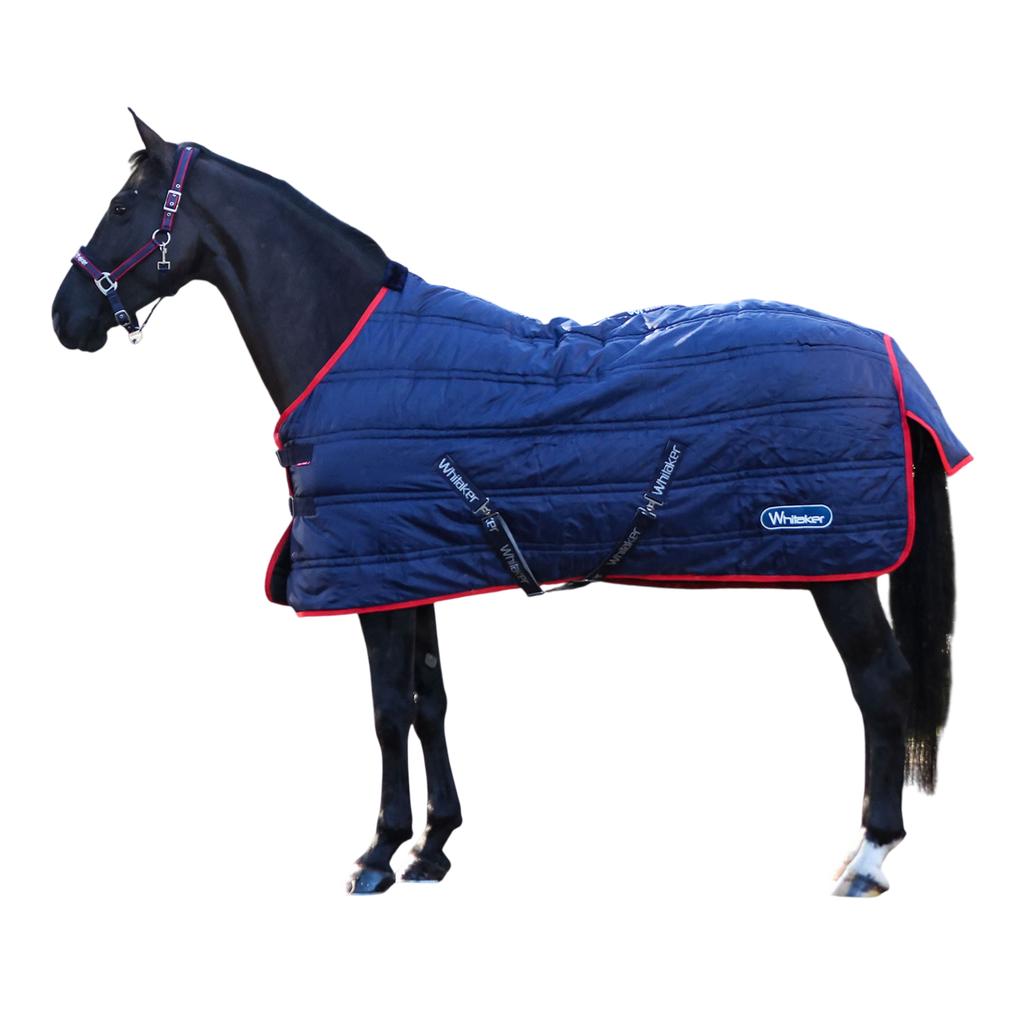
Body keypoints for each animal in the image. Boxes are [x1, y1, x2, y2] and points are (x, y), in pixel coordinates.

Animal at [51, 112, 969, 897]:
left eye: (125, 207)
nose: (65, 317)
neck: (349, 345)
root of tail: (888, 352)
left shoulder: (372, 577)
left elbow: (387, 711)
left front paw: (378, 853)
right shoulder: (410, 563)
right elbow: (429, 703)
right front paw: (433, 846)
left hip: (839, 569)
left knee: (881, 685)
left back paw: (869, 855)